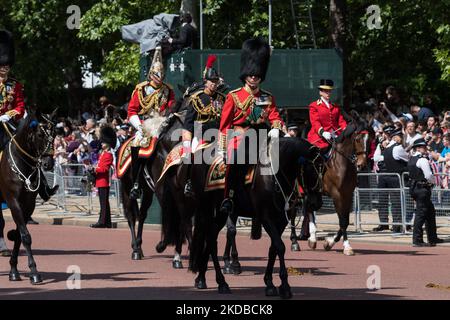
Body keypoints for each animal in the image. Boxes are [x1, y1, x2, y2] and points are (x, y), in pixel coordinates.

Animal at [0, 107, 57, 282]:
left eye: (55, 134)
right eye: (40, 134)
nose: (48, 164)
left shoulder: (28, 204)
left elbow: (20, 236)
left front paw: (14, 270)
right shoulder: (13, 201)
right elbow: (25, 235)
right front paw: (33, 272)